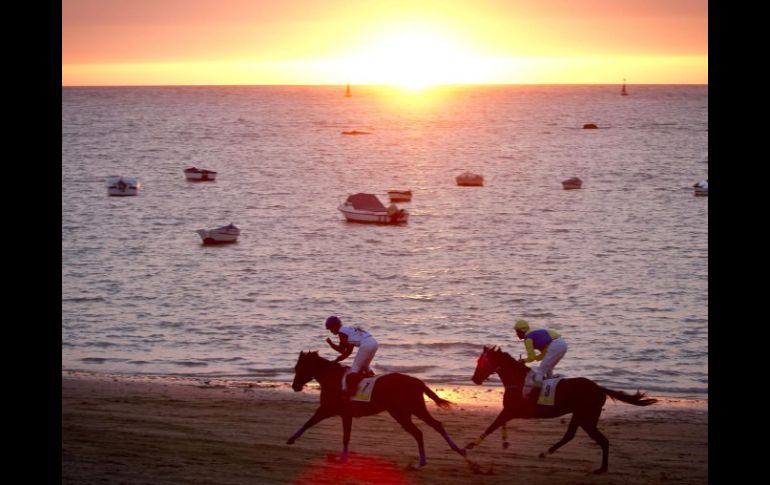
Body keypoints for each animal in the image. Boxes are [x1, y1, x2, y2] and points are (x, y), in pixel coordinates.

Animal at [284, 352, 462, 466]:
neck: (332, 378)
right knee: (432, 427)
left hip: (403, 412)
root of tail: (417, 381)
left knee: (422, 430)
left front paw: (342, 459)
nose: (295, 386)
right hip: (413, 409)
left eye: (299, 367)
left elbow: (314, 424)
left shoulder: (332, 410)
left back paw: (430, 458)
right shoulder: (338, 413)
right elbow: (313, 424)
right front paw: (291, 439)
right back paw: (452, 451)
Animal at [462, 344, 656, 472]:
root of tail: (599, 388)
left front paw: (468, 446)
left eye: (482, 362)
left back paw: (602, 469)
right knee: (570, 435)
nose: (474, 379)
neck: (518, 380)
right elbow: (496, 425)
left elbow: (491, 426)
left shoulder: (510, 411)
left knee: (602, 440)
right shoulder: (510, 412)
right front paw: (502, 443)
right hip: (579, 416)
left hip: (587, 418)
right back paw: (546, 452)